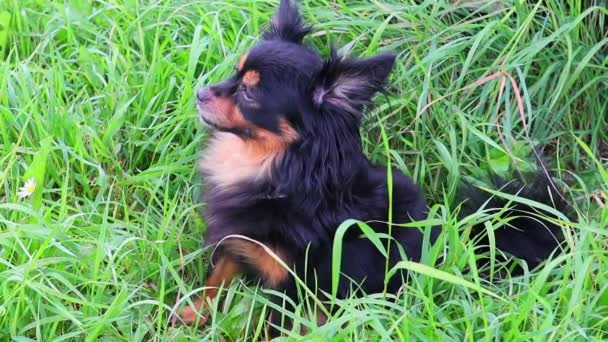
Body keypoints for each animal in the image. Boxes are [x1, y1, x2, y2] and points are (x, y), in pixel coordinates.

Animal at [177, 0, 568, 336]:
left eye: (249, 94)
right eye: (235, 74)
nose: (200, 93)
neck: (270, 167)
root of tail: (459, 238)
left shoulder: (292, 285)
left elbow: (271, 327)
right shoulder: (233, 241)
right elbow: (214, 281)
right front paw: (190, 315)